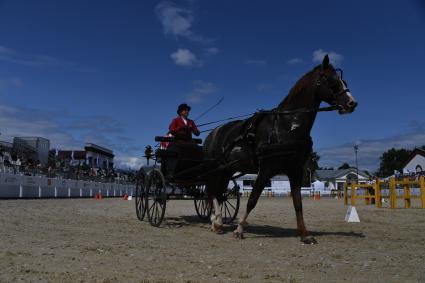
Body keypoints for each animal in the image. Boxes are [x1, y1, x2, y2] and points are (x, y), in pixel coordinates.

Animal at [204, 55, 356, 244]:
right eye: (332, 80)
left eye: (344, 81)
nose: (352, 103)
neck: (287, 126)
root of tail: (212, 133)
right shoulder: (265, 170)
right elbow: (252, 199)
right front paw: (239, 230)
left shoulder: (295, 171)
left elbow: (298, 203)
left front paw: (304, 234)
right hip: (215, 169)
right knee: (212, 192)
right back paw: (217, 221)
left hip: (227, 170)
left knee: (219, 193)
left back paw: (216, 222)